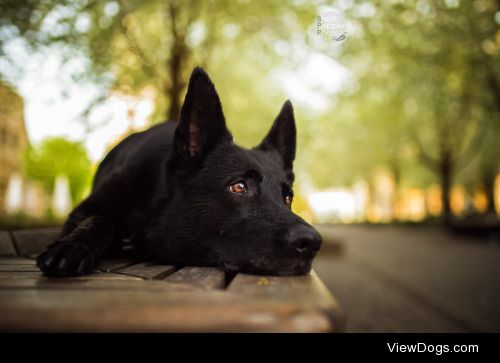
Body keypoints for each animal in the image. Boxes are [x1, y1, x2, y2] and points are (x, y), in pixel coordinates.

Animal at [37, 67, 322, 278]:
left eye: (287, 197)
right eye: (239, 186)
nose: (313, 242)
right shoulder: (84, 210)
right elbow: (100, 219)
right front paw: (73, 246)